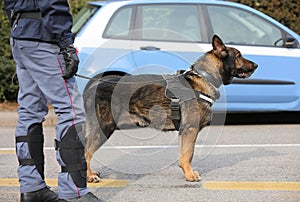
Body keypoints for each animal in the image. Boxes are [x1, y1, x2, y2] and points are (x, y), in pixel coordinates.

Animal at [82, 35, 258, 182]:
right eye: (239, 56)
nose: (257, 65)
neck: (204, 76)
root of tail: (93, 86)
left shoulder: (185, 132)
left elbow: (184, 156)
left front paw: (186, 172)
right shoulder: (190, 129)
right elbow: (188, 155)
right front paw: (190, 175)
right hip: (104, 128)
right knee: (86, 152)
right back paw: (89, 177)